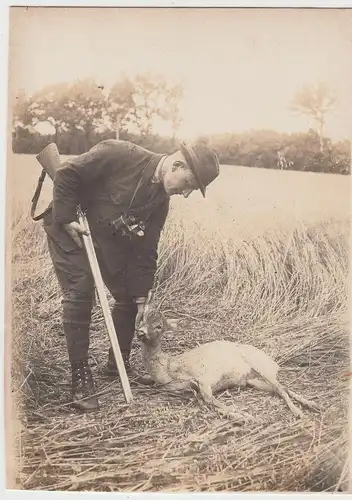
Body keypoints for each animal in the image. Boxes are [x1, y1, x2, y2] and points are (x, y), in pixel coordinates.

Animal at [135, 292, 322, 426]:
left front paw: (245, 416)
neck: (167, 369)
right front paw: (242, 416)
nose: (140, 332)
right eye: (142, 318)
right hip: (253, 379)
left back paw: (300, 412)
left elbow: (210, 399)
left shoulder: (204, 378)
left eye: (159, 326)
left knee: (281, 388)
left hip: (259, 365)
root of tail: (274, 363)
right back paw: (312, 405)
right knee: (281, 388)